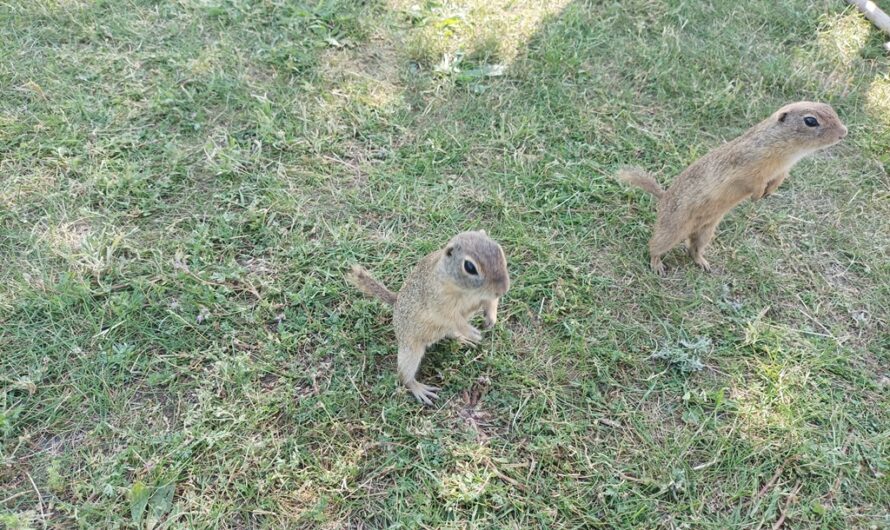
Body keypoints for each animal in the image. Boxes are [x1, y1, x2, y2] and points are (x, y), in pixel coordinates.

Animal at [346, 229, 510, 402]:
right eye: (470, 267)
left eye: (499, 250)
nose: (503, 289)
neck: (467, 291)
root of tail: (396, 302)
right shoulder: (439, 303)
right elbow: (454, 319)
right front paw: (471, 331)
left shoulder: (485, 297)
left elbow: (491, 302)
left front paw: (491, 318)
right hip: (410, 350)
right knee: (404, 375)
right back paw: (419, 389)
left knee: (449, 333)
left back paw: (462, 339)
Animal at [616, 99, 848, 274]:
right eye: (810, 120)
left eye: (830, 108)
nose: (843, 132)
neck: (788, 153)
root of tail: (663, 197)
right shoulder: (749, 168)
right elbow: (753, 182)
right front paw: (758, 195)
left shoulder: (782, 171)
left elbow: (778, 180)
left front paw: (770, 192)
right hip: (671, 229)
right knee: (655, 246)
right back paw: (657, 265)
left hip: (706, 232)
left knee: (692, 248)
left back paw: (703, 263)